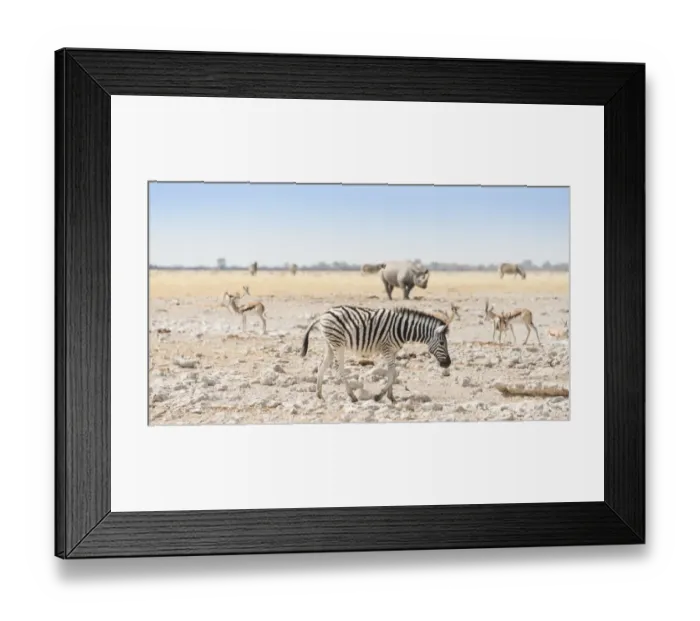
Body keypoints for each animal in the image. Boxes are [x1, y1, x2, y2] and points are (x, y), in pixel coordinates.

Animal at [301, 306, 451, 403]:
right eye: (442, 343)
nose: (448, 363)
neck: (402, 329)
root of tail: (323, 315)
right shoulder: (387, 349)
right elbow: (393, 374)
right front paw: (379, 396)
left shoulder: (393, 351)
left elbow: (392, 373)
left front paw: (391, 397)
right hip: (338, 344)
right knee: (340, 369)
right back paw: (352, 396)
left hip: (330, 344)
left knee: (322, 366)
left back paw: (319, 395)